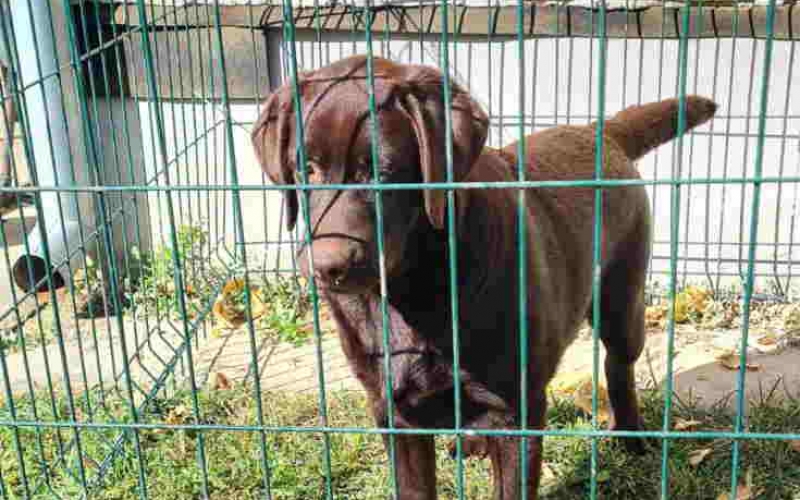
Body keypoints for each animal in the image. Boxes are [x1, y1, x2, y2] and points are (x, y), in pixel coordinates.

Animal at [252, 54, 720, 496]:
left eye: (383, 173)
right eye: (306, 169)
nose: (327, 266)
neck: (410, 292)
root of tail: (598, 131)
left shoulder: (516, 408)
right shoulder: (393, 411)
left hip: (622, 296)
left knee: (618, 365)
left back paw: (631, 437)